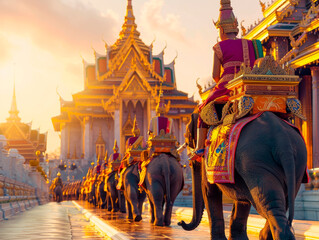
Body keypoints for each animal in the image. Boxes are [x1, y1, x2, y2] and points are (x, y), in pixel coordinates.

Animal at [179, 112, 308, 240]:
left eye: (187, 139)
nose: (181, 222)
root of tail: (283, 141)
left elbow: (209, 191)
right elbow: (242, 200)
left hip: (255, 159)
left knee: (268, 202)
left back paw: (268, 235)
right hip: (298, 160)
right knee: (284, 199)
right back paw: (265, 235)